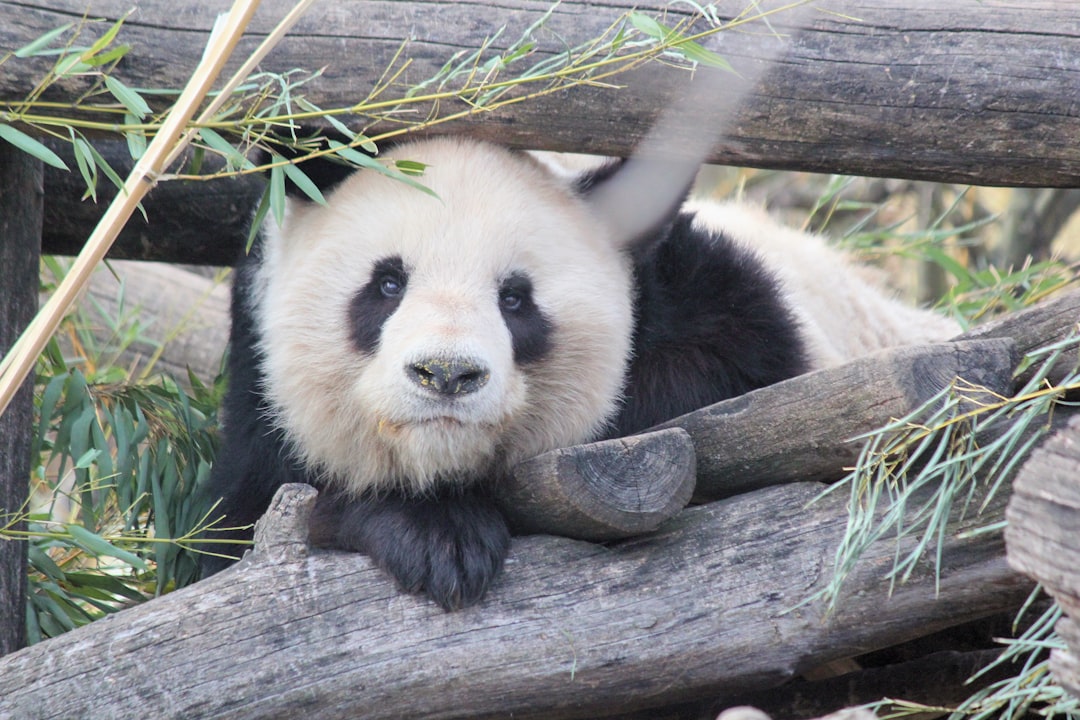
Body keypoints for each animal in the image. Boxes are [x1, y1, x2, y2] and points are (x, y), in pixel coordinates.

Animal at [198, 136, 960, 610]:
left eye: (515, 299)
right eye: (386, 285)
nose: (446, 375)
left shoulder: (735, 319)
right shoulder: (257, 401)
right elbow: (241, 527)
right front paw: (437, 536)